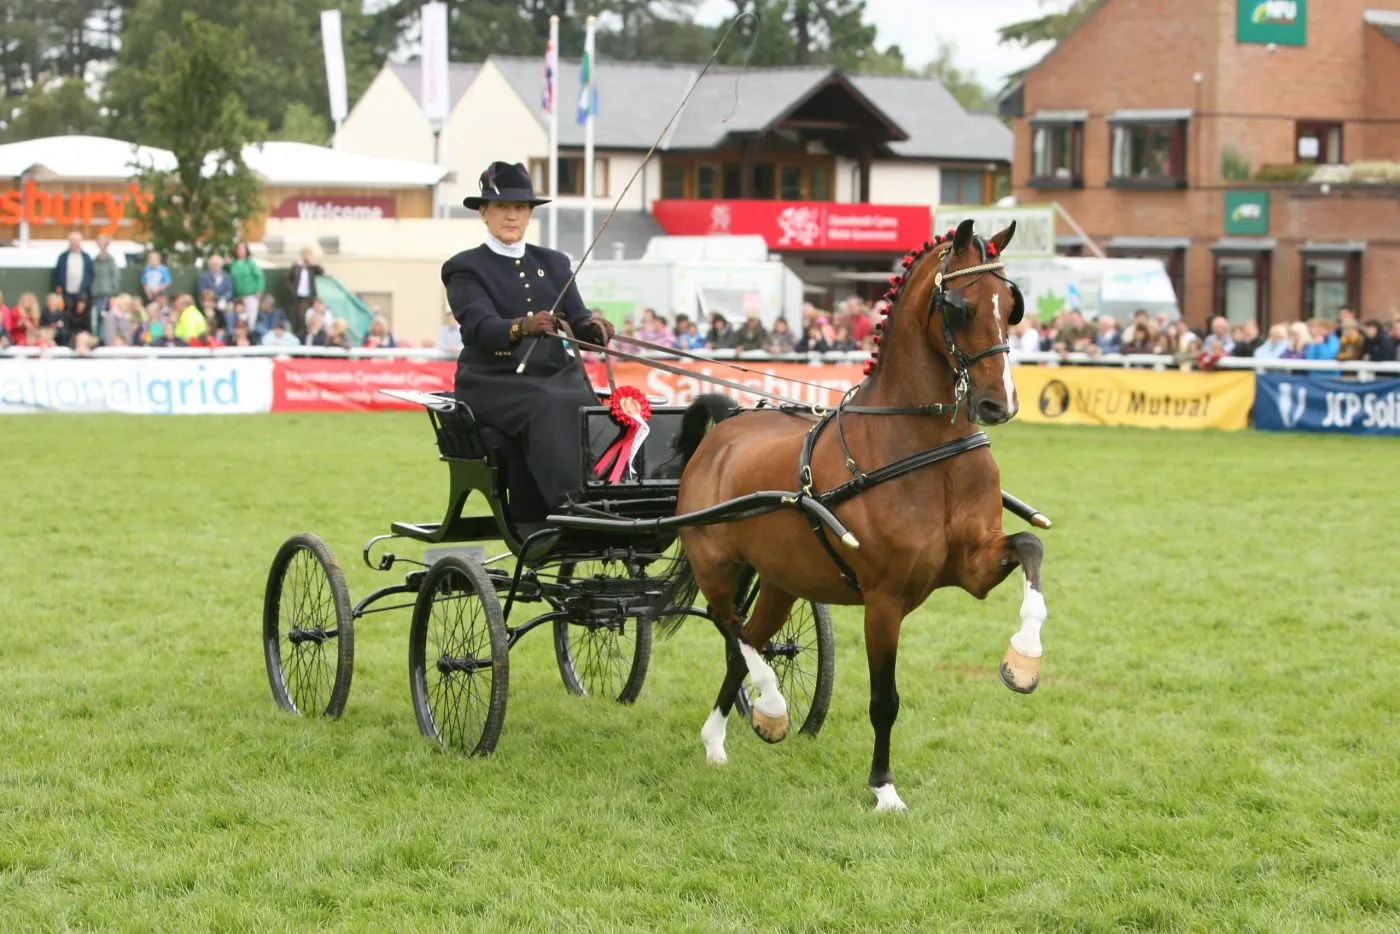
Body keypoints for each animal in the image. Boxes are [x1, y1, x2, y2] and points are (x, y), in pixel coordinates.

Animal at [653, 217, 1048, 812]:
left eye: (1012, 302)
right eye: (960, 305)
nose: (998, 404)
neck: (923, 448)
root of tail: (725, 428)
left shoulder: (974, 566)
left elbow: (1030, 547)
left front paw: (1023, 659)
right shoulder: (883, 600)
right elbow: (885, 699)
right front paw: (884, 789)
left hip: (781, 580)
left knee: (745, 642)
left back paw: (720, 739)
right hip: (716, 565)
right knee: (732, 629)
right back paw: (771, 709)